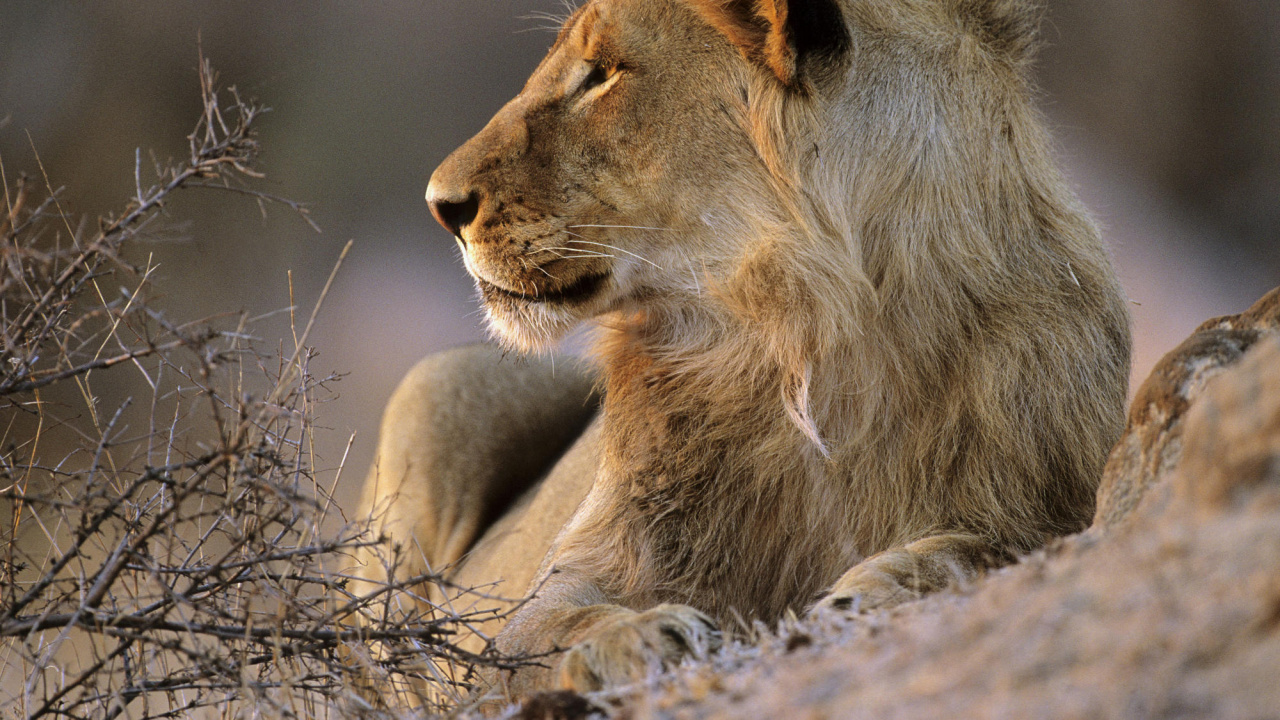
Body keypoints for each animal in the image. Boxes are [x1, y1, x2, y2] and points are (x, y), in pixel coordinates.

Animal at [355, 0, 1132, 702]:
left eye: (602, 73)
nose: (441, 206)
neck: (808, 340)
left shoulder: (1053, 494)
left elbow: (991, 547)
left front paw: (877, 587)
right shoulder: (573, 579)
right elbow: (540, 634)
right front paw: (636, 636)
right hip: (438, 384)